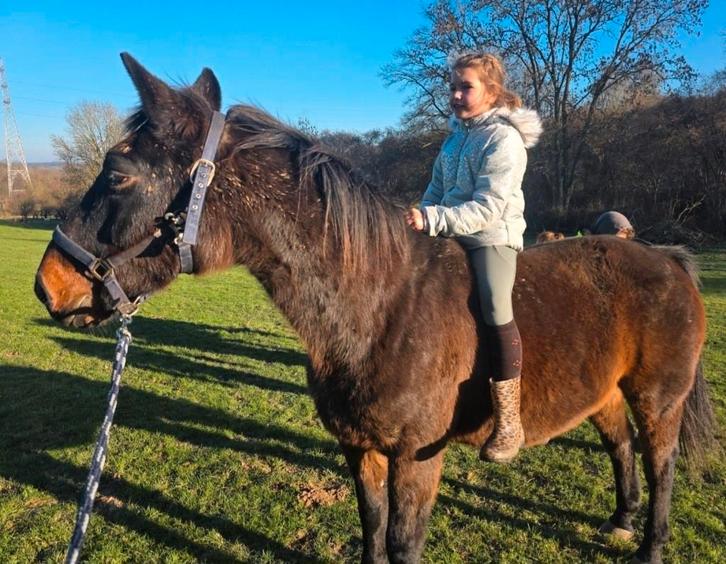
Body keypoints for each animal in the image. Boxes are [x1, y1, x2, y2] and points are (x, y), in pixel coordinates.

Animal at [34, 54, 715, 564]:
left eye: (118, 174)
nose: (48, 285)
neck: (379, 308)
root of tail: (667, 259)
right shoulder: (359, 449)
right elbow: (371, 534)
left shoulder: (417, 459)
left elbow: (402, 542)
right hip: (603, 393)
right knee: (621, 447)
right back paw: (621, 521)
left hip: (658, 398)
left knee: (659, 464)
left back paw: (650, 544)